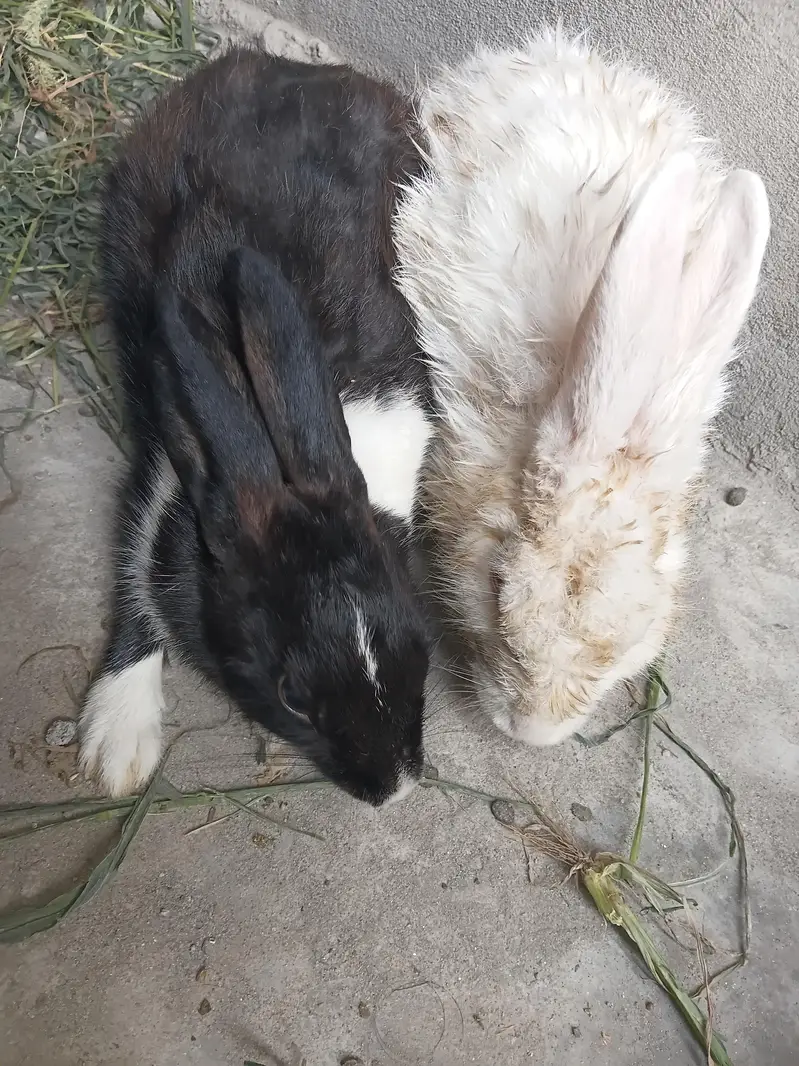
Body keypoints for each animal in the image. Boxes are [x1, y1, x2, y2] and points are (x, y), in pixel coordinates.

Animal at [79, 48, 434, 804]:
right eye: (292, 696)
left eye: (421, 648)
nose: (392, 790)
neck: (276, 449)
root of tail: (292, 68)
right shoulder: (160, 475)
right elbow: (134, 573)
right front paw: (117, 743)